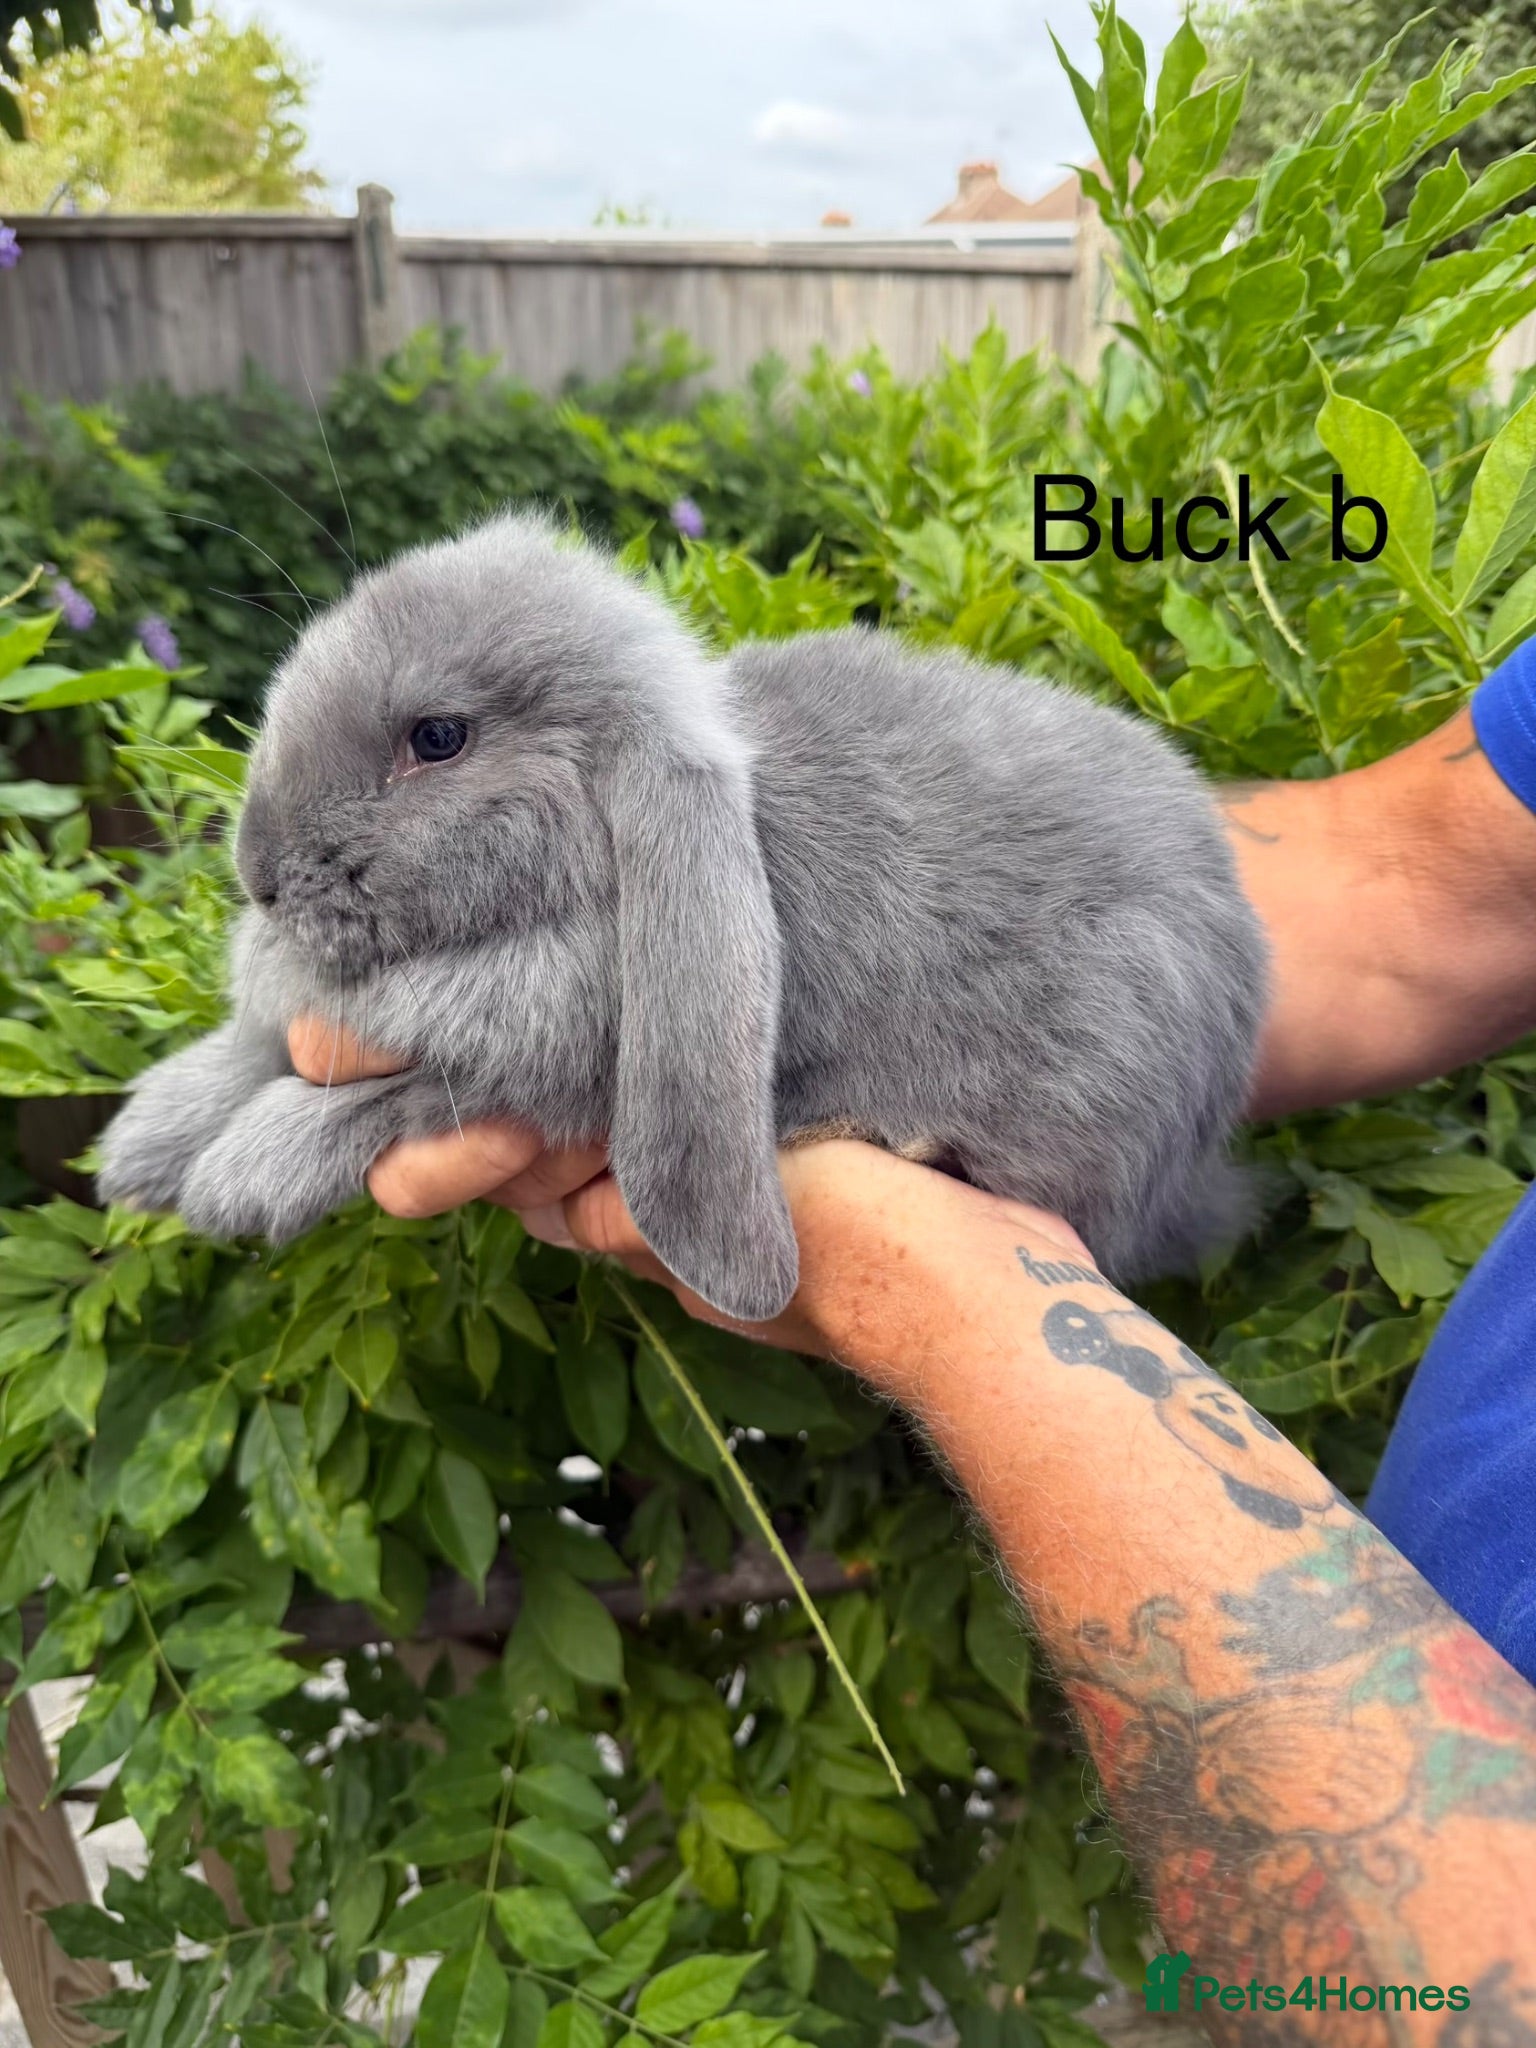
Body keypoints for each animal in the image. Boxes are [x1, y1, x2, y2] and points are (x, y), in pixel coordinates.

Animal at [96, 510, 1267, 1324]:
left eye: (437, 738)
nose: (258, 875)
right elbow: (250, 1052)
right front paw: (141, 1145)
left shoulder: (532, 1072)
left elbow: (390, 1096)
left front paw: (244, 1178)